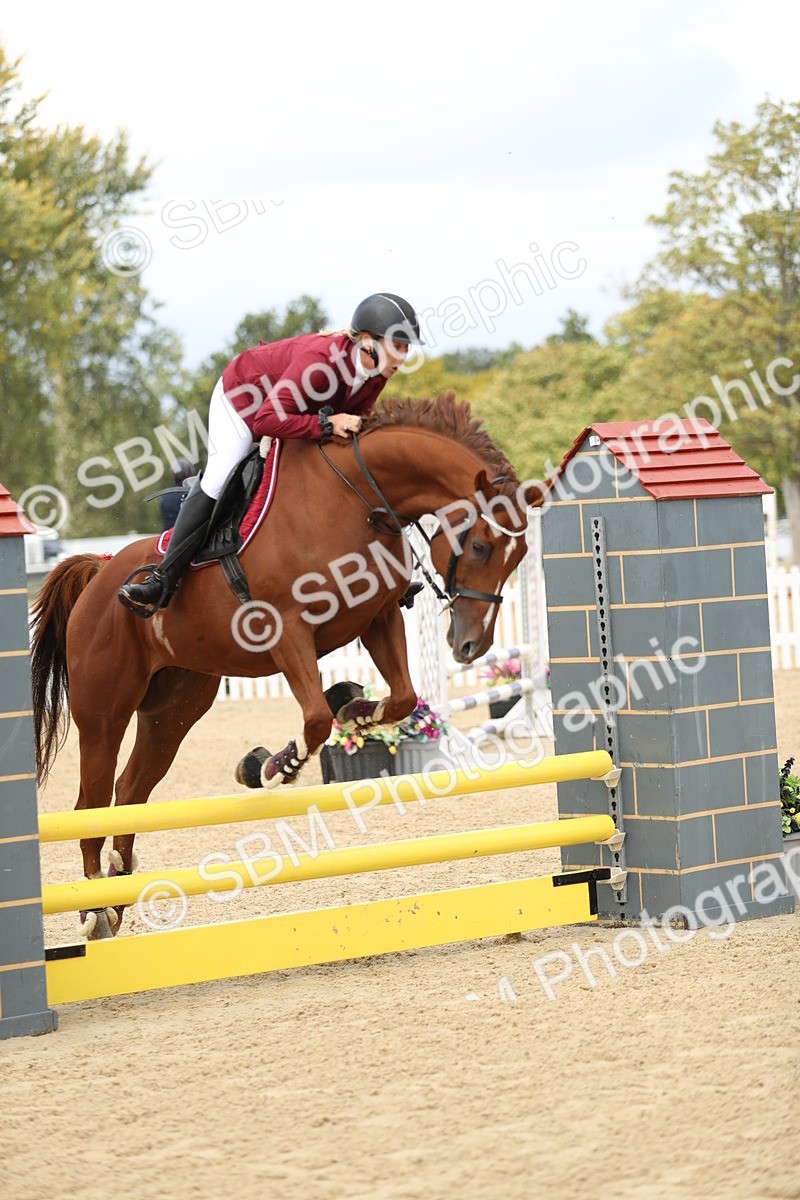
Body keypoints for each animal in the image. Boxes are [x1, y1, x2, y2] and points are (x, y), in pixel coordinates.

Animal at [30, 394, 543, 937]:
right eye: (481, 546)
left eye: (519, 556)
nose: (471, 644)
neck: (357, 496)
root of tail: (101, 571)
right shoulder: (287, 630)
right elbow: (315, 720)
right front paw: (273, 767)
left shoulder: (377, 617)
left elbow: (398, 699)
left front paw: (351, 710)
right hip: (104, 712)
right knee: (90, 804)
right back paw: (93, 912)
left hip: (174, 710)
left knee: (129, 791)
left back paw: (116, 893)